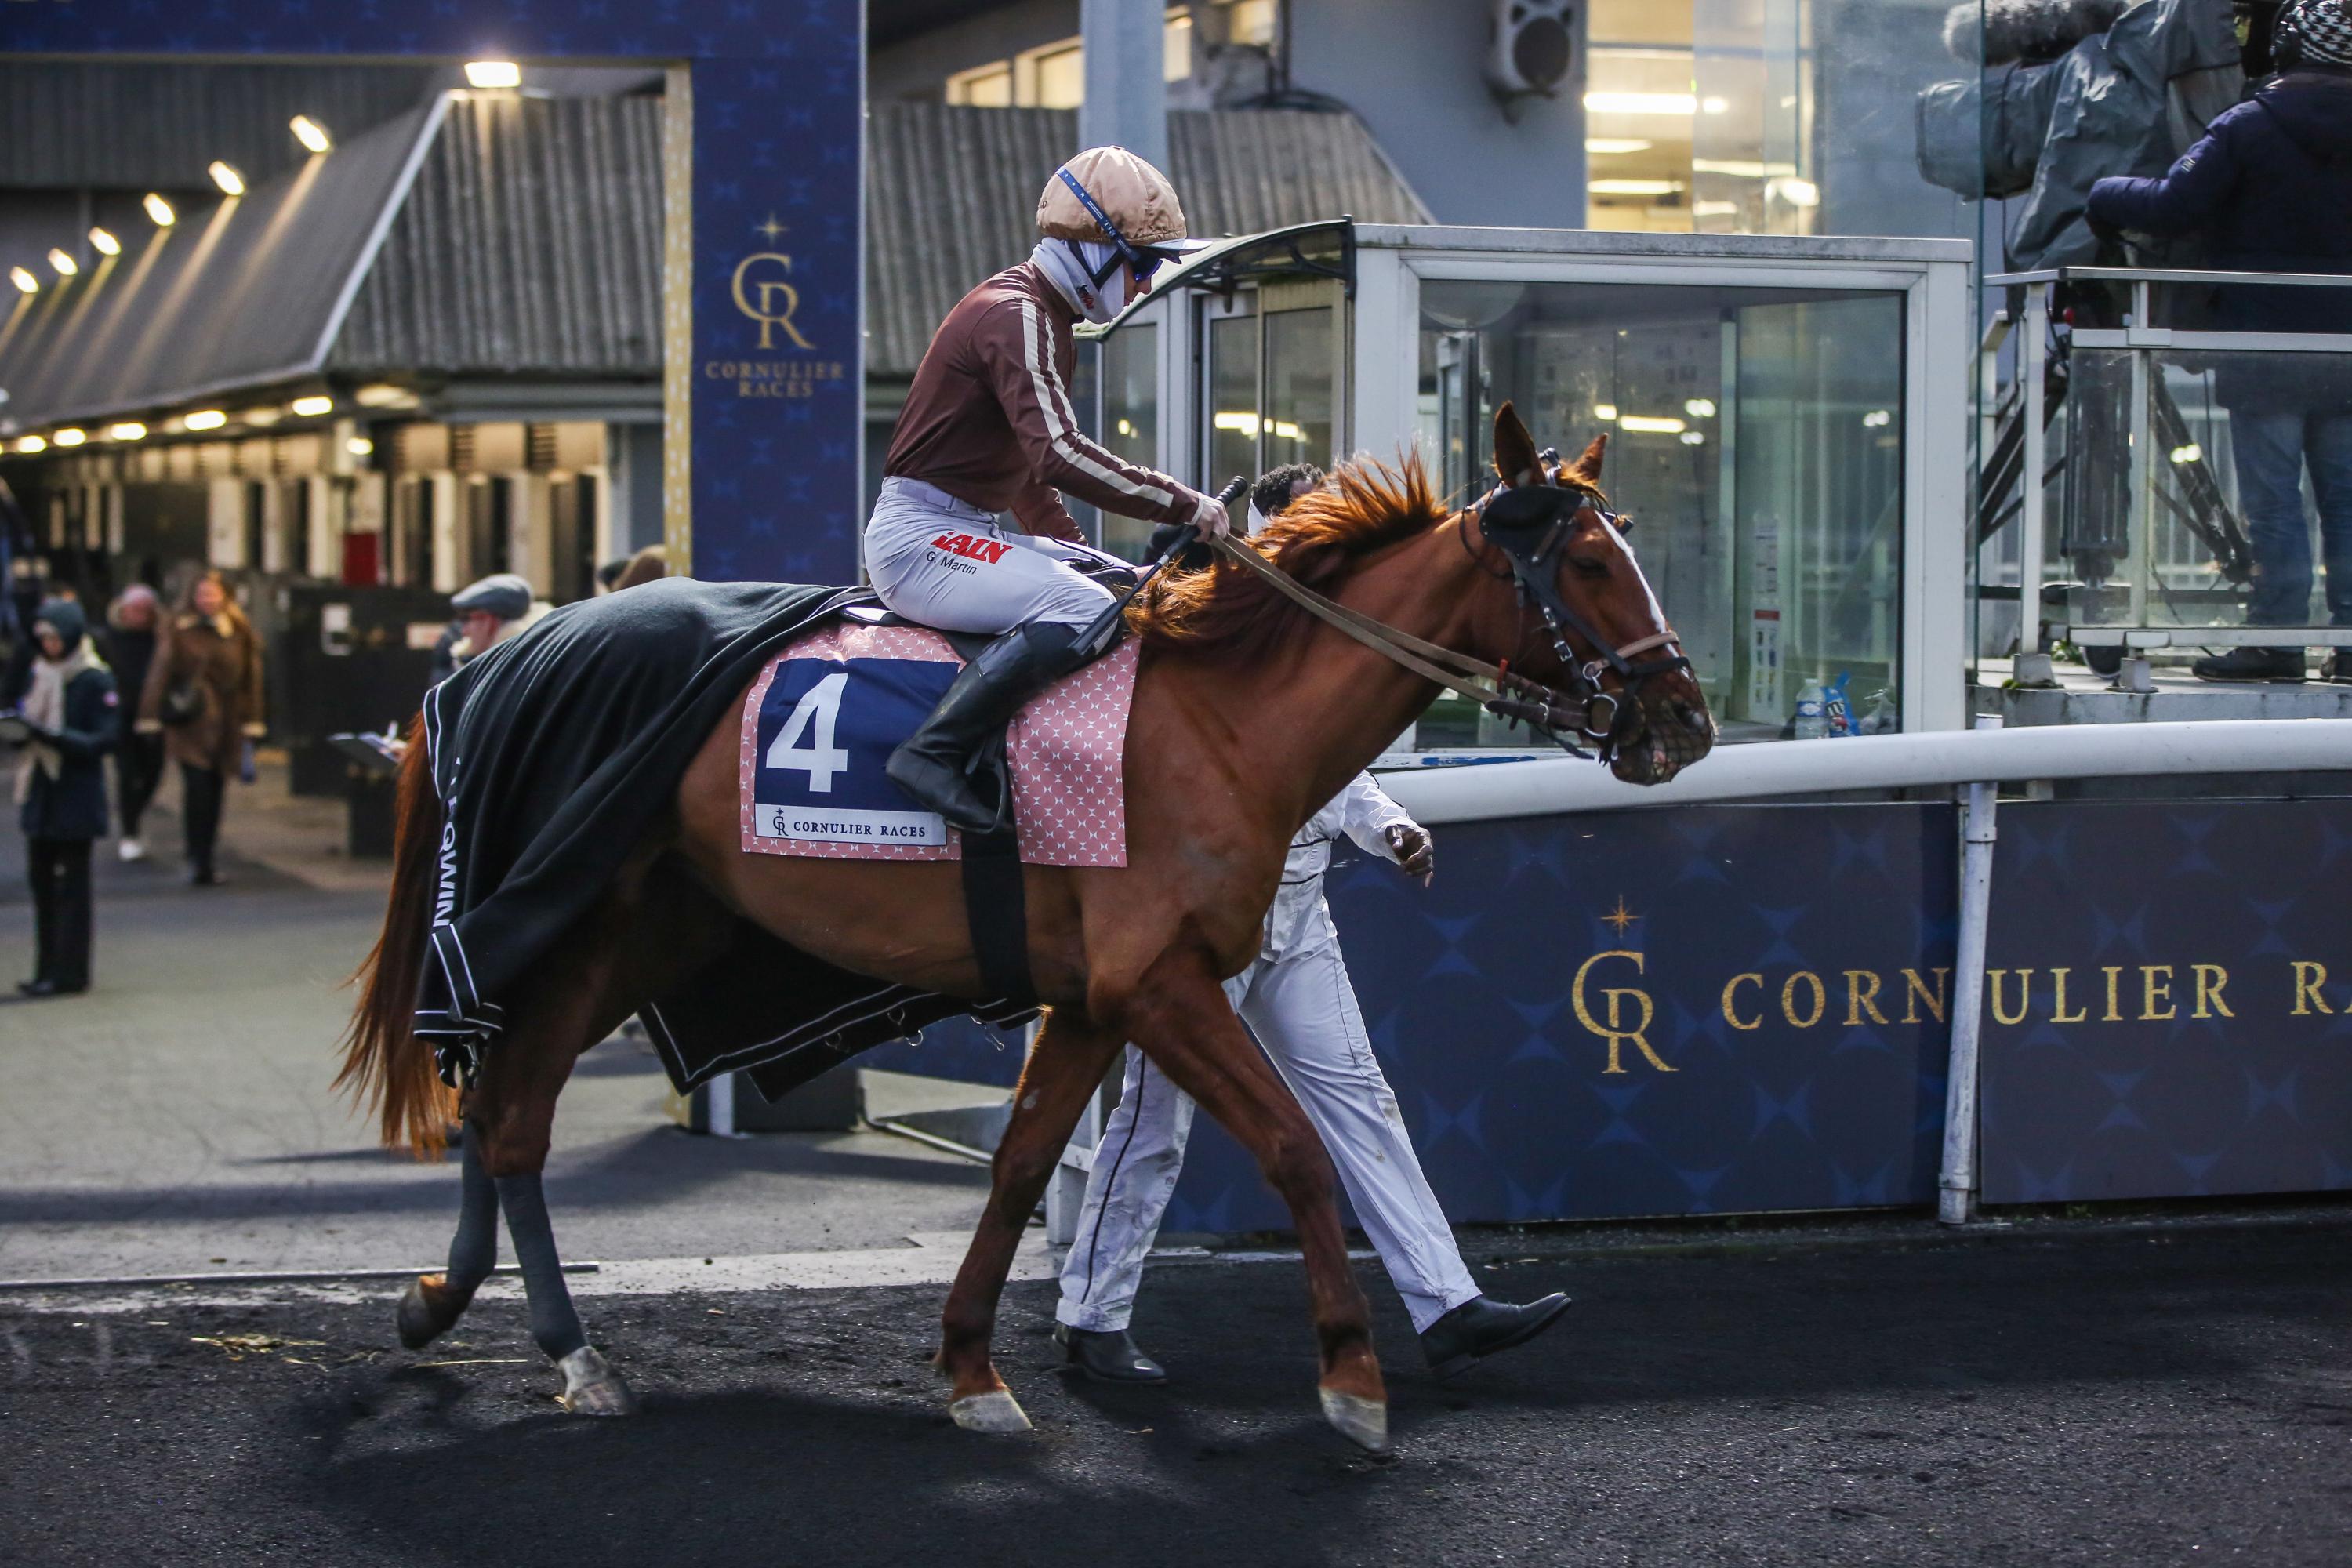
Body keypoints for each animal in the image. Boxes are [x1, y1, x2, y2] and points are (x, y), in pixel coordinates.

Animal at [341, 399, 1712, 1457]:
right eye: (1590, 562)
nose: (1682, 723)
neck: (1218, 716)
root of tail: (504, 657)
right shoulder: (1159, 983)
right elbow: (1296, 1150)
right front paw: (1352, 1383)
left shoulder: (1093, 997)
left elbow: (1015, 1170)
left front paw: (970, 1371)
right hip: (575, 919)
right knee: (505, 1107)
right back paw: (556, 1347)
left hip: (646, 930)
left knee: (504, 1113)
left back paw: (467, 1314)